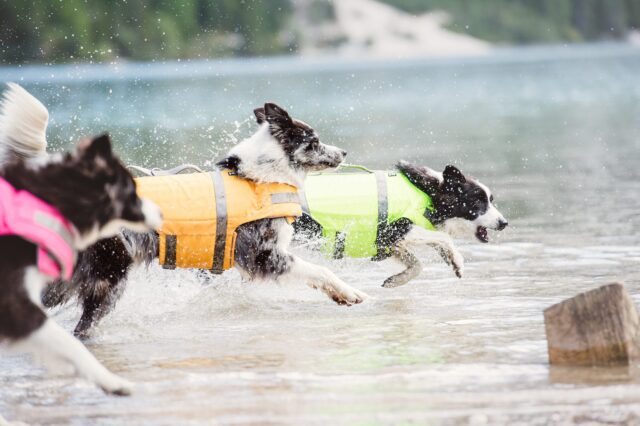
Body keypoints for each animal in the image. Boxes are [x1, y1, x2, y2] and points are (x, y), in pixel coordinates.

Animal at [42, 102, 368, 336]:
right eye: (314, 141)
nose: (343, 152)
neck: (260, 176)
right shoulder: (263, 255)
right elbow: (320, 271)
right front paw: (350, 293)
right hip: (108, 278)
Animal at [296, 161, 510, 288]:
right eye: (478, 202)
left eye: (491, 200)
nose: (504, 223)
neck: (429, 195)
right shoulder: (397, 228)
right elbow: (442, 237)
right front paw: (457, 260)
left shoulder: (385, 244)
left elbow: (417, 264)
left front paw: (396, 280)